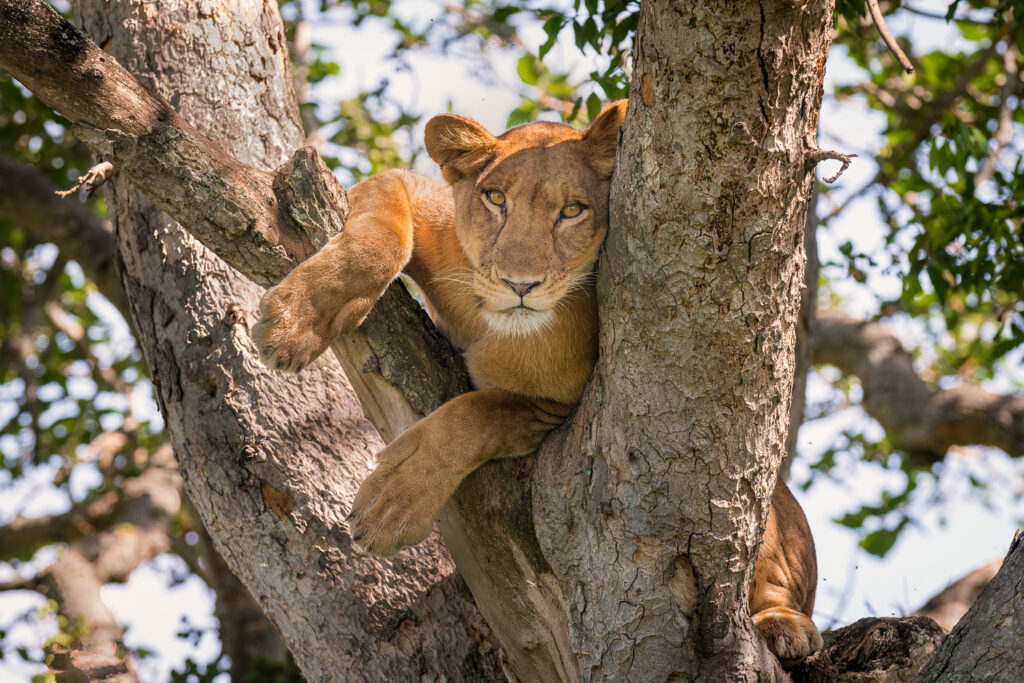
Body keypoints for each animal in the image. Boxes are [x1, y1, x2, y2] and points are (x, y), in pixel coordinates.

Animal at [252, 100, 823, 662]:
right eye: (495, 199)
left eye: (572, 211)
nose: (519, 284)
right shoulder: (408, 192)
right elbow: (377, 236)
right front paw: (294, 322)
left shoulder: (559, 406)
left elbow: (477, 413)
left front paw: (392, 501)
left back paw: (785, 628)